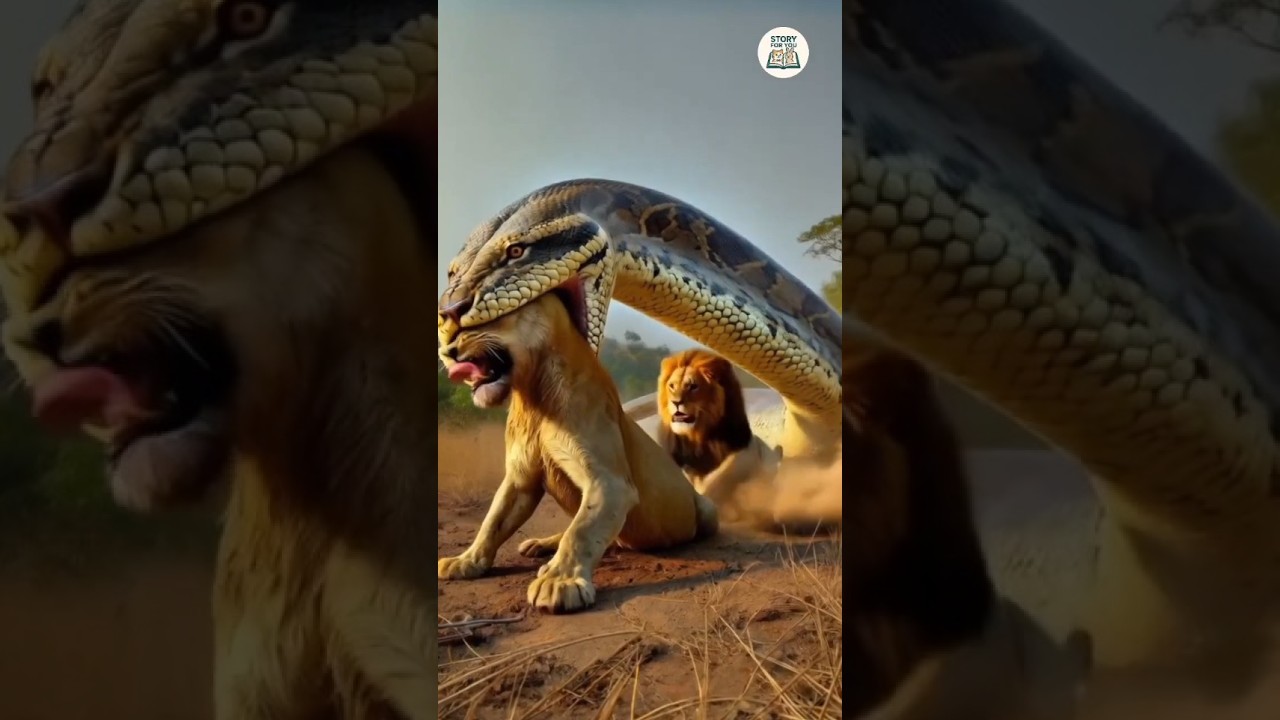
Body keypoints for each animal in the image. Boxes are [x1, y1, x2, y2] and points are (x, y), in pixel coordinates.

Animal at [436, 293, 719, 614]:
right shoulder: (520, 478)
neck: (532, 394)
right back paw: (540, 545)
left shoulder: (611, 483)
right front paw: (466, 561)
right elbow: (492, 521)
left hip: (708, 510)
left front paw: (559, 583)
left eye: (483, 318)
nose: (448, 352)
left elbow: (581, 532)